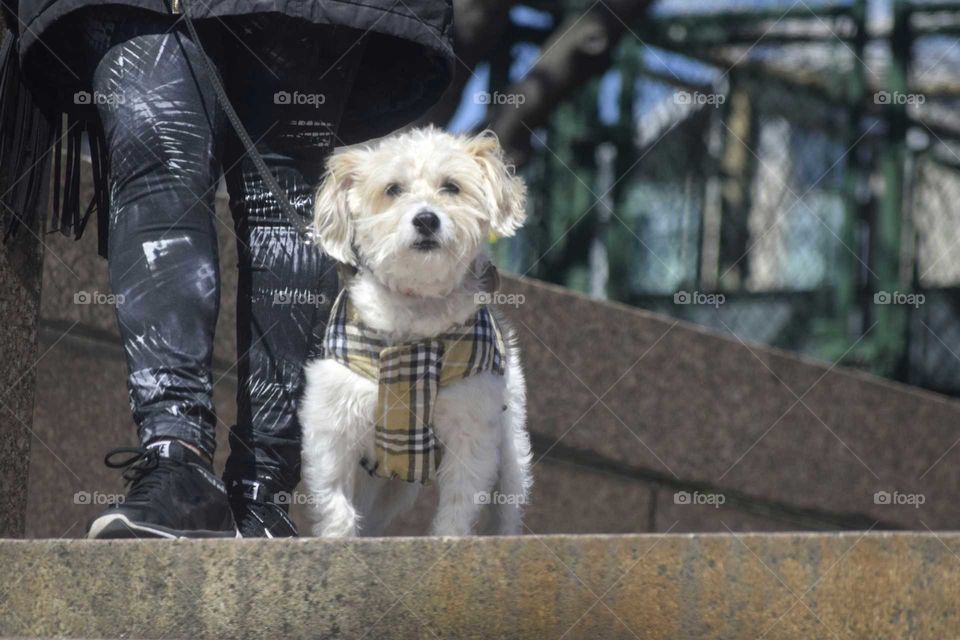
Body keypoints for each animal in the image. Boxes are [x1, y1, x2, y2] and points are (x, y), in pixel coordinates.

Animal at [300, 127, 532, 536]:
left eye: (451, 187)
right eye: (393, 189)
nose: (426, 219)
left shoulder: (471, 428)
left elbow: (458, 505)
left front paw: (448, 542)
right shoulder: (334, 419)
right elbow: (334, 498)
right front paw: (337, 539)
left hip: (511, 450)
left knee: (506, 509)